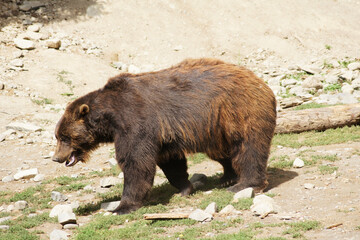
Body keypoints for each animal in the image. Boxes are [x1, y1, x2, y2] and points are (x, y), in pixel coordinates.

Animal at [52, 58, 278, 214]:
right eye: (57, 136)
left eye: (64, 137)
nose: (56, 158)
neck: (110, 117)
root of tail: (261, 82)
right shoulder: (161, 134)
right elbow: (170, 161)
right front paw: (184, 188)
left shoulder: (135, 122)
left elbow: (135, 162)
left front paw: (122, 206)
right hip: (216, 129)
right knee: (223, 152)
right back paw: (227, 177)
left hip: (241, 112)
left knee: (249, 149)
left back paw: (244, 184)